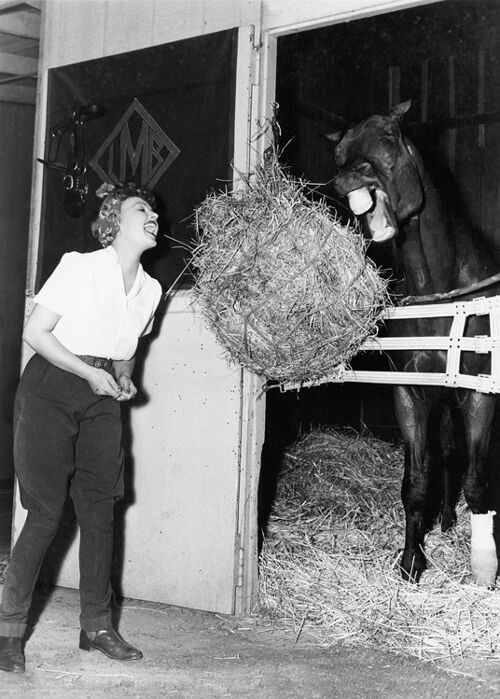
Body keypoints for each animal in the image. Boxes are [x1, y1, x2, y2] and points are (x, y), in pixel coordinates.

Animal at [330, 101, 498, 588]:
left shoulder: (478, 397)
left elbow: (477, 483)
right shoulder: (410, 393)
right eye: (339, 152)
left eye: (389, 134)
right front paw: (411, 561)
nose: (351, 174)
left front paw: (484, 569)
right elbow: (417, 482)